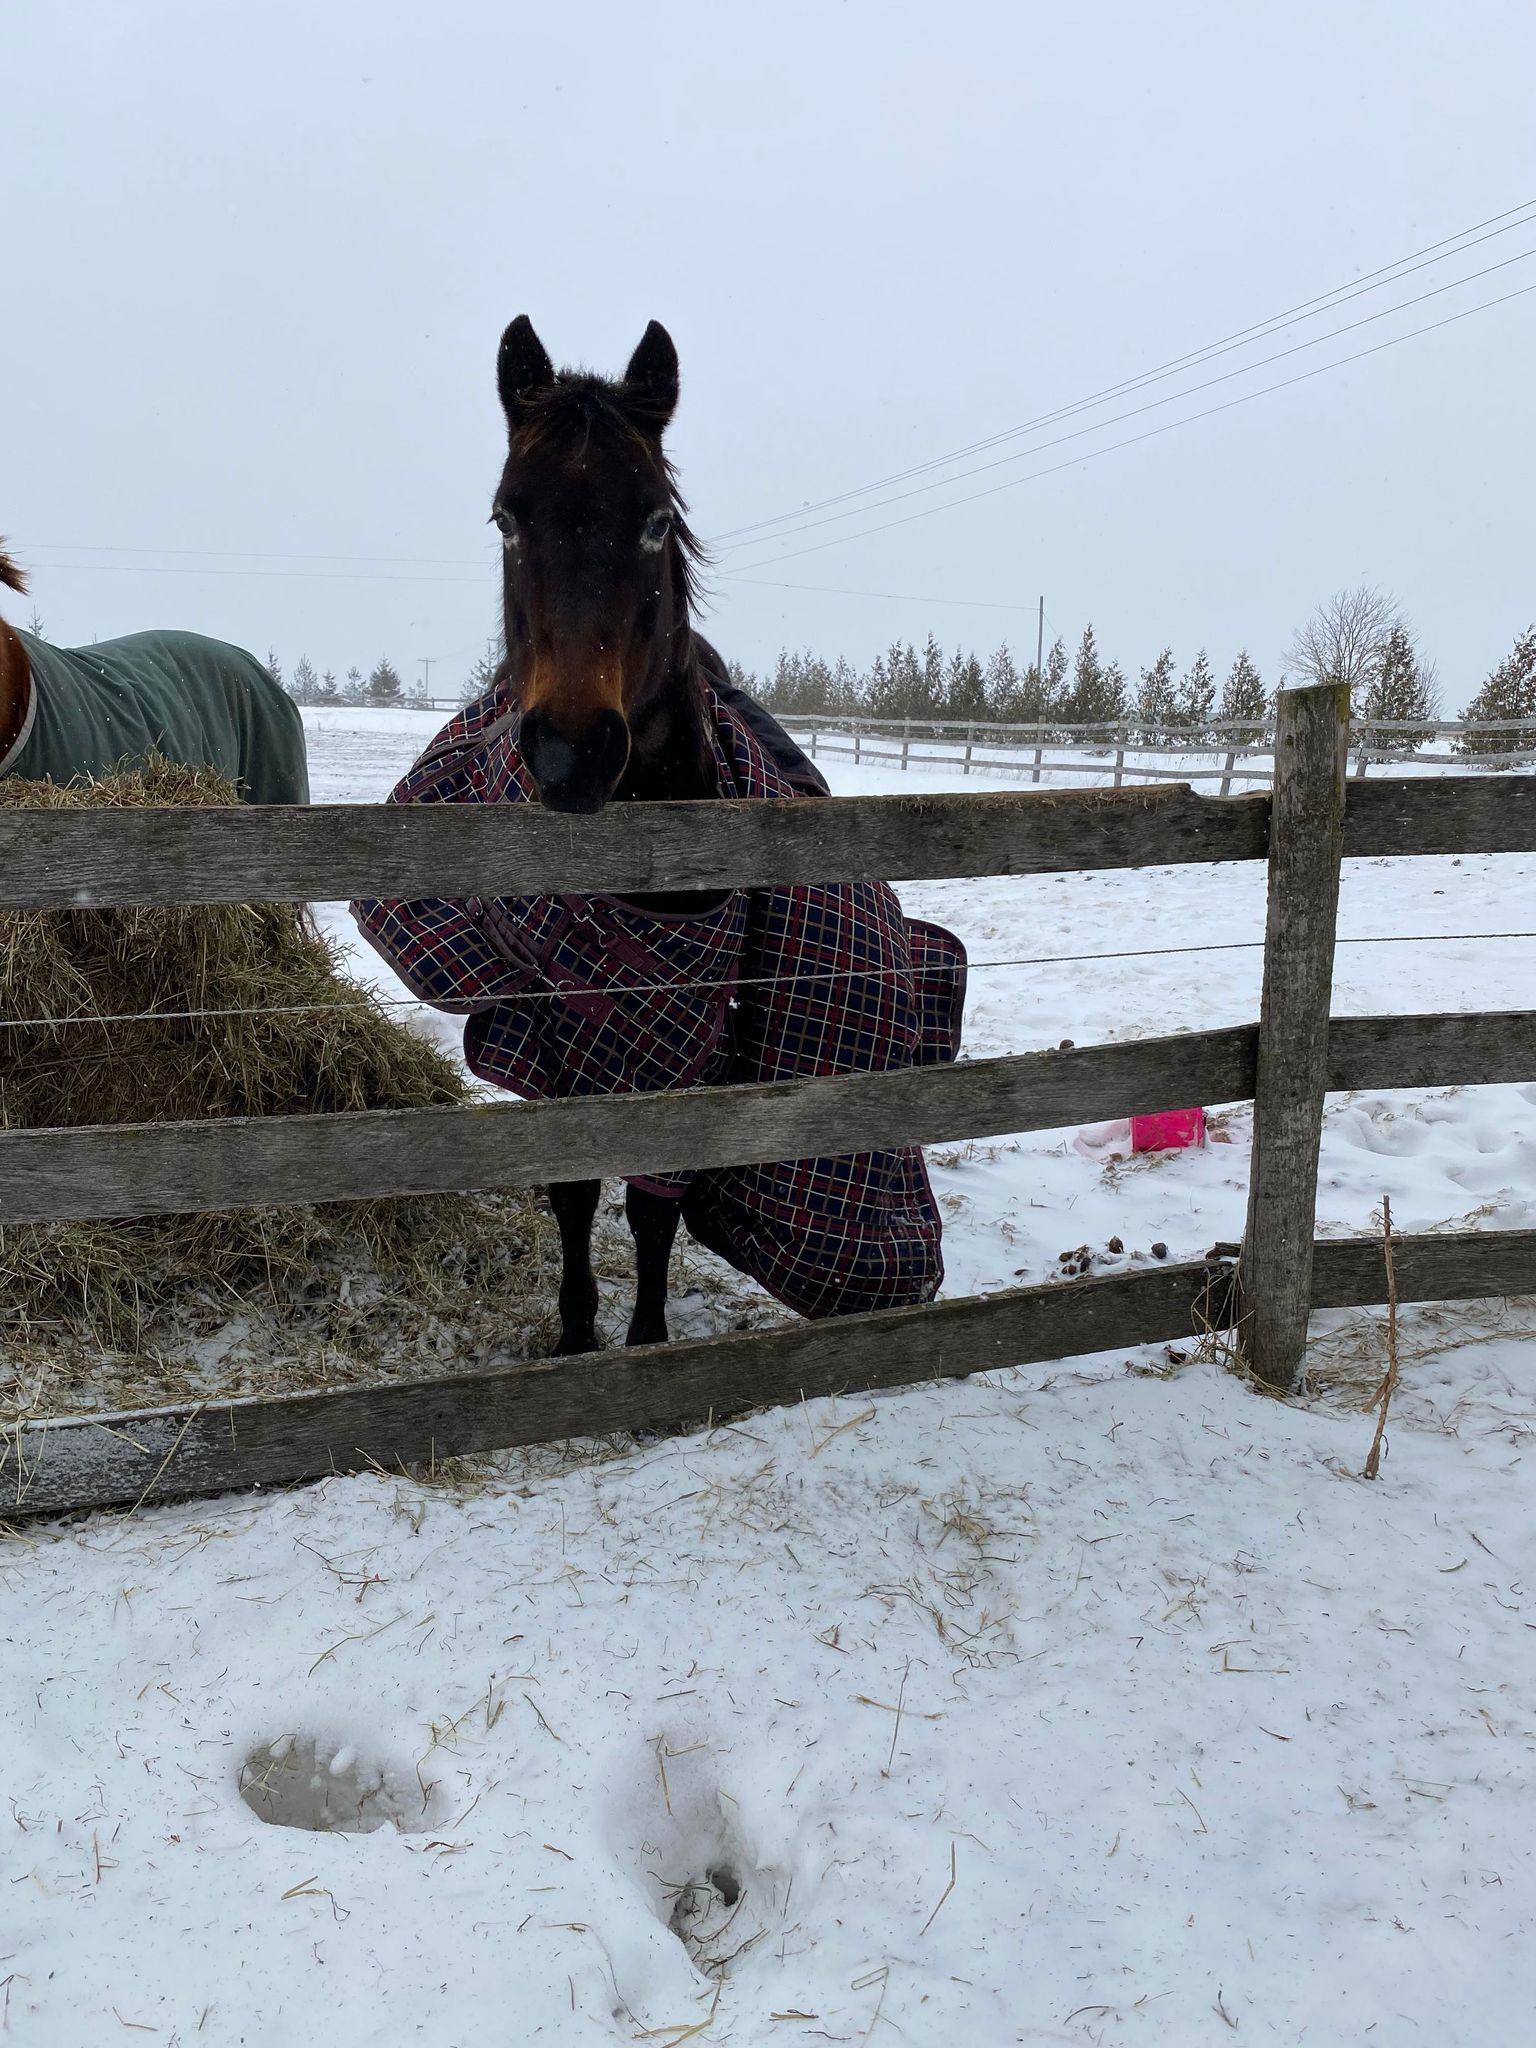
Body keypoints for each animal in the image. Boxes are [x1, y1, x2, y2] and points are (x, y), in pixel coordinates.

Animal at [354, 320, 964, 1355]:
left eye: (651, 521)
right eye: (506, 519)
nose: (571, 754)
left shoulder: (693, 1046)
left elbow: (653, 1206)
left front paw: (643, 1341)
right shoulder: (558, 1039)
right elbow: (572, 1187)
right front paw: (574, 1337)